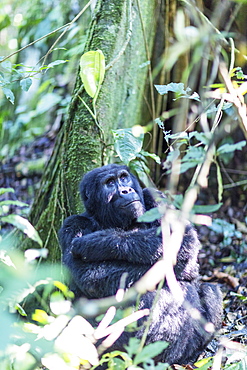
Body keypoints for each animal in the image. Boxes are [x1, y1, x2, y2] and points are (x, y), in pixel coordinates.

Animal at [58, 164, 223, 364]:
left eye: (123, 178)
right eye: (110, 183)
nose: (126, 190)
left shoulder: (155, 196)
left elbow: (183, 239)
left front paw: (98, 241)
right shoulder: (72, 225)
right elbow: (89, 273)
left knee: (209, 289)